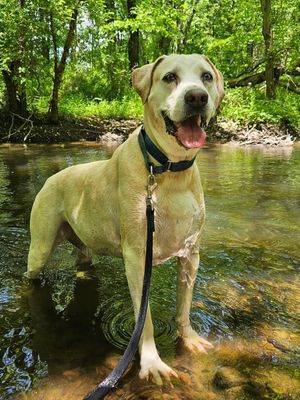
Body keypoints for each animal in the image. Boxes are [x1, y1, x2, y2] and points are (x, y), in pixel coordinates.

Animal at [27, 54, 223, 384]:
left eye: (206, 76)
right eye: (169, 77)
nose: (197, 97)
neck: (167, 169)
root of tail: (51, 177)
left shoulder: (190, 255)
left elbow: (183, 306)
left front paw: (189, 339)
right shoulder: (136, 259)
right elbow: (145, 320)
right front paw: (152, 363)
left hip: (83, 242)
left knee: (83, 261)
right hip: (40, 247)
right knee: (32, 273)